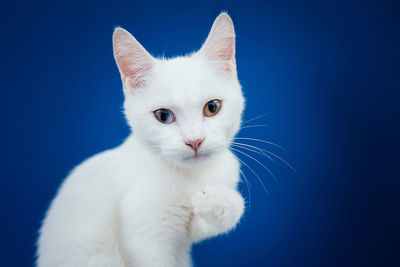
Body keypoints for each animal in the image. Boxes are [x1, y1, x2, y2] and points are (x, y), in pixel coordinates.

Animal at [36, 13, 245, 267]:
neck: (190, 176)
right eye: (163, 115)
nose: (194, 141)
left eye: (212, 107)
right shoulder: (146, 237)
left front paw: (216, 201)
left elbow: (231, 211)